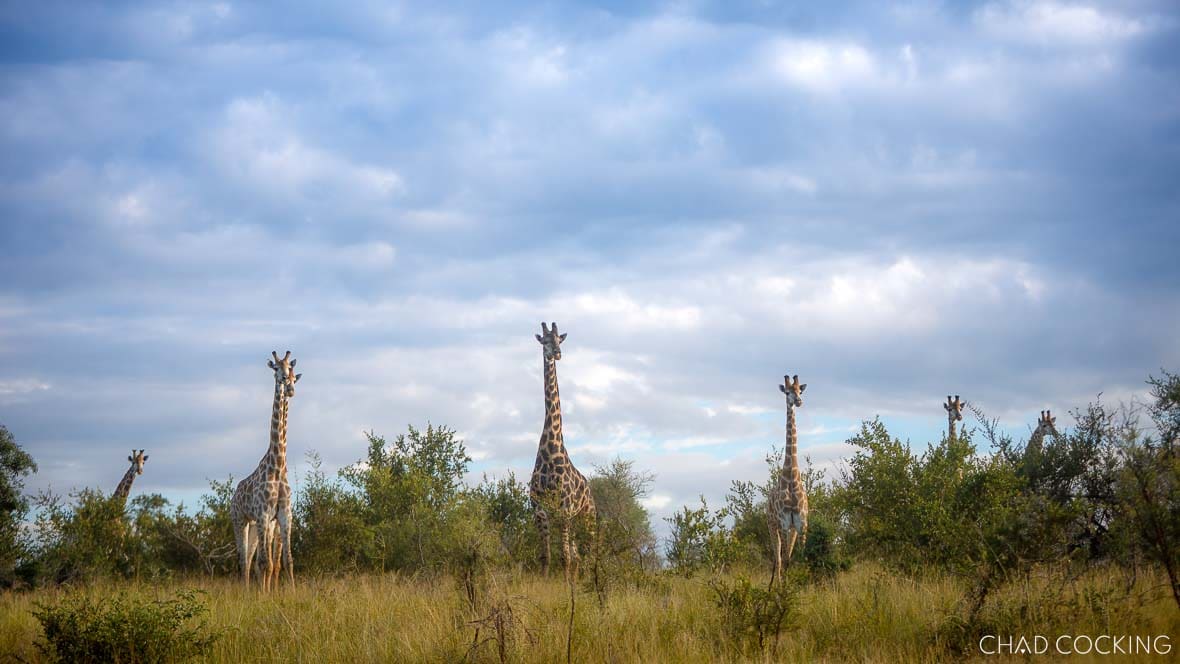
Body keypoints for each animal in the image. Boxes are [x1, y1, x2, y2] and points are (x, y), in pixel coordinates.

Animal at [230, 350, 300, 591]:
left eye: (291, 370)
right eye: (276, 369)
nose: (289, 386)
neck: (278, 465)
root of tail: (234, 494)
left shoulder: (284, 514)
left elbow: (287, 560)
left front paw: (292, 592)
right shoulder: (263, 514)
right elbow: (265, 563)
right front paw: (264, 595)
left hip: (255, 525)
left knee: (251, 559)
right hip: (240, 520)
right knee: (244, 560)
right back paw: (245, 592)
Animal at [528, 322, 596, 581]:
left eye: (559, 340)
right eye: (545, 341)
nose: (557, 353)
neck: (551, 450)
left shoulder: (564, 511)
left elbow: (564, 558)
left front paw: (568, 589)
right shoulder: (540, 511)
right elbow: (546, 556)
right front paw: (543, 584)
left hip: (587, 517)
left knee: (587, 555)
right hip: (574, 521)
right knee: (578, 557)